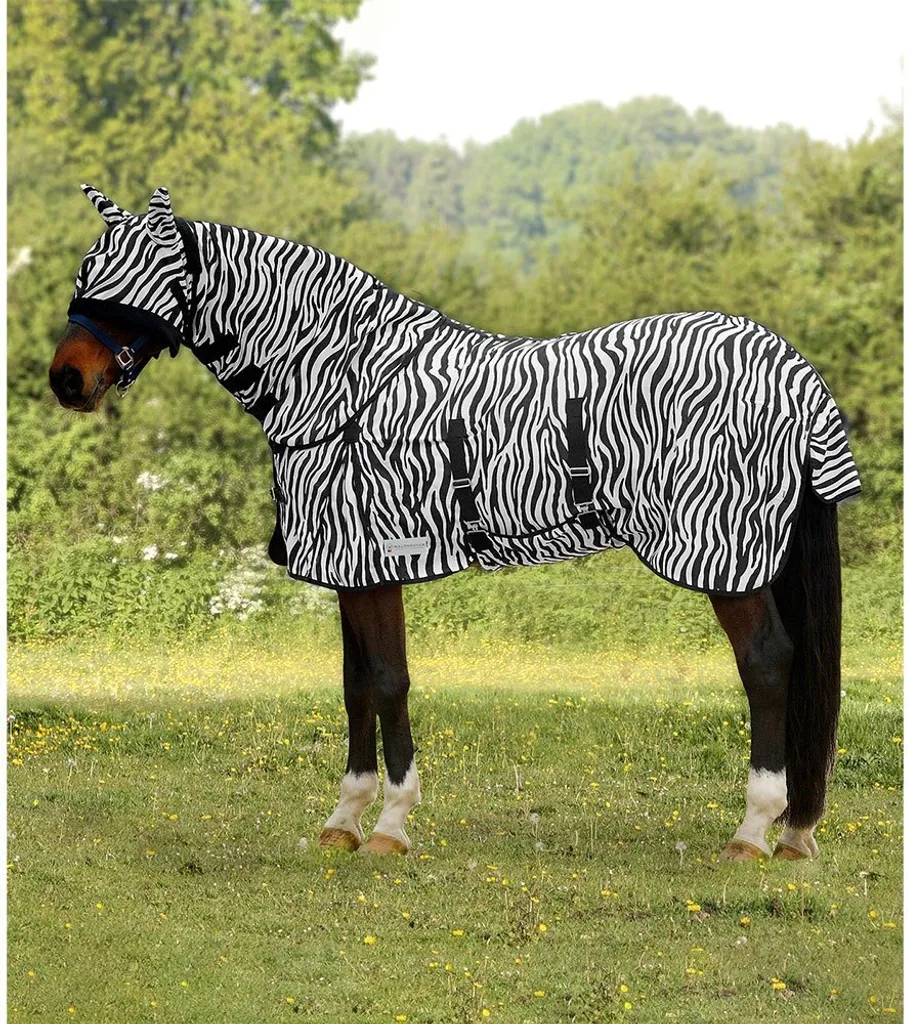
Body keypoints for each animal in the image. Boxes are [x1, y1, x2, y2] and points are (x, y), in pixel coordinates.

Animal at [51, 184, 860, 861]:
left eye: (142, 277)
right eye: (89, 267)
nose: (66, 379)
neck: (343, 381)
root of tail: (792, 370)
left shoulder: (373, 563)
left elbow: (387, 681)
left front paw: (389, 825)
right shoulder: (352, 571)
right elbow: (355, 685)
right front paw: (344, 820)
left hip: (728, 558)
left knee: (768, 665)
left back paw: (754, 831)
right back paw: (794, 832)